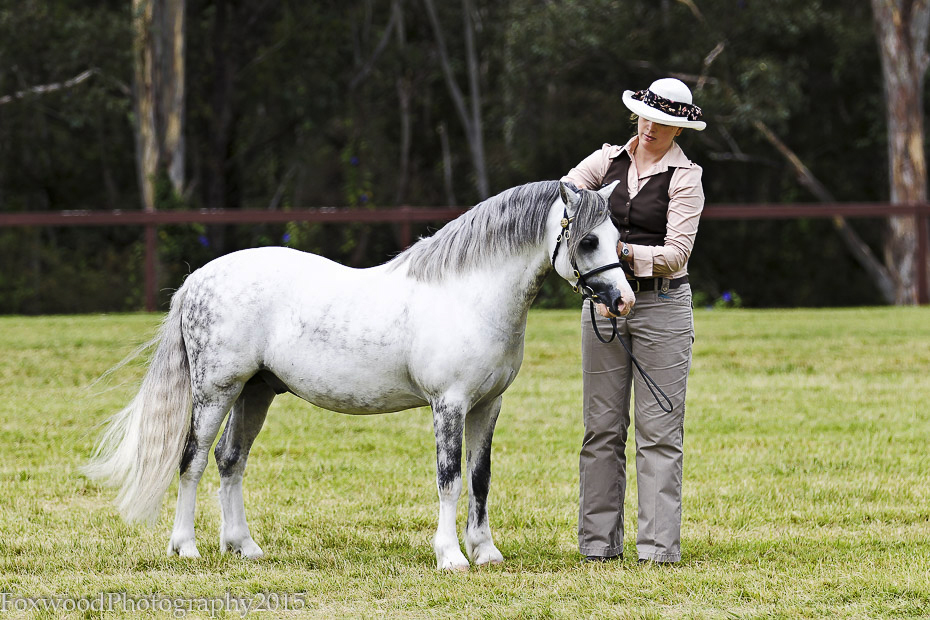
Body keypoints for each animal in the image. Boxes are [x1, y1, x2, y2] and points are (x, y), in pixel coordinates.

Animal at [84, 180, 635, 570]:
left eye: (619, 240)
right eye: (588, 240)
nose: (623, 301)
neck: (469, 294)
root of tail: (198, 278)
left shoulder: (487, 405)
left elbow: (479, 479)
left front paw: (486, 552)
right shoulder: (450, 404)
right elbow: (450, 480)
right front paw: (451, 557)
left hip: (255, 391)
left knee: (230, 460)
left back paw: (244, 546)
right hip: (216, 390)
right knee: (193, 460)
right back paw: (186, 547)